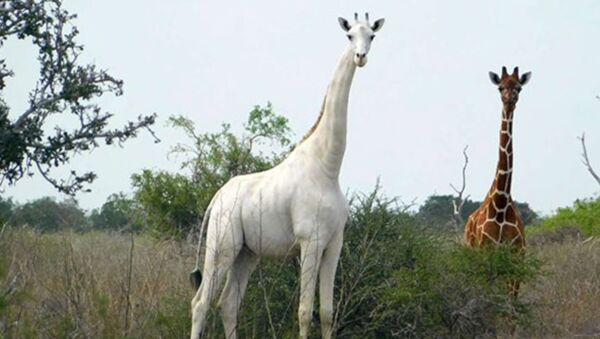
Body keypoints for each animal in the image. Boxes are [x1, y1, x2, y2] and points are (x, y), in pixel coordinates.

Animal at [189, 13, 384, 339]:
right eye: (349, 36)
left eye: (371, 36)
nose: (361, 57)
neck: (327, 167)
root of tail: (216, 199)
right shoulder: (310, 241)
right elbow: (305, 311)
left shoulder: (335, 243)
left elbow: (327, 313)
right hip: (222, 245)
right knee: (200, 303)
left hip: (247, 253)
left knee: (228, 303)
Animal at [464, 67, 528, 252]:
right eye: (500, 87)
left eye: (519, 88)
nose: (509, 100)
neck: (501, 203)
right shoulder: (485, 248)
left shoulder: (519, 250)